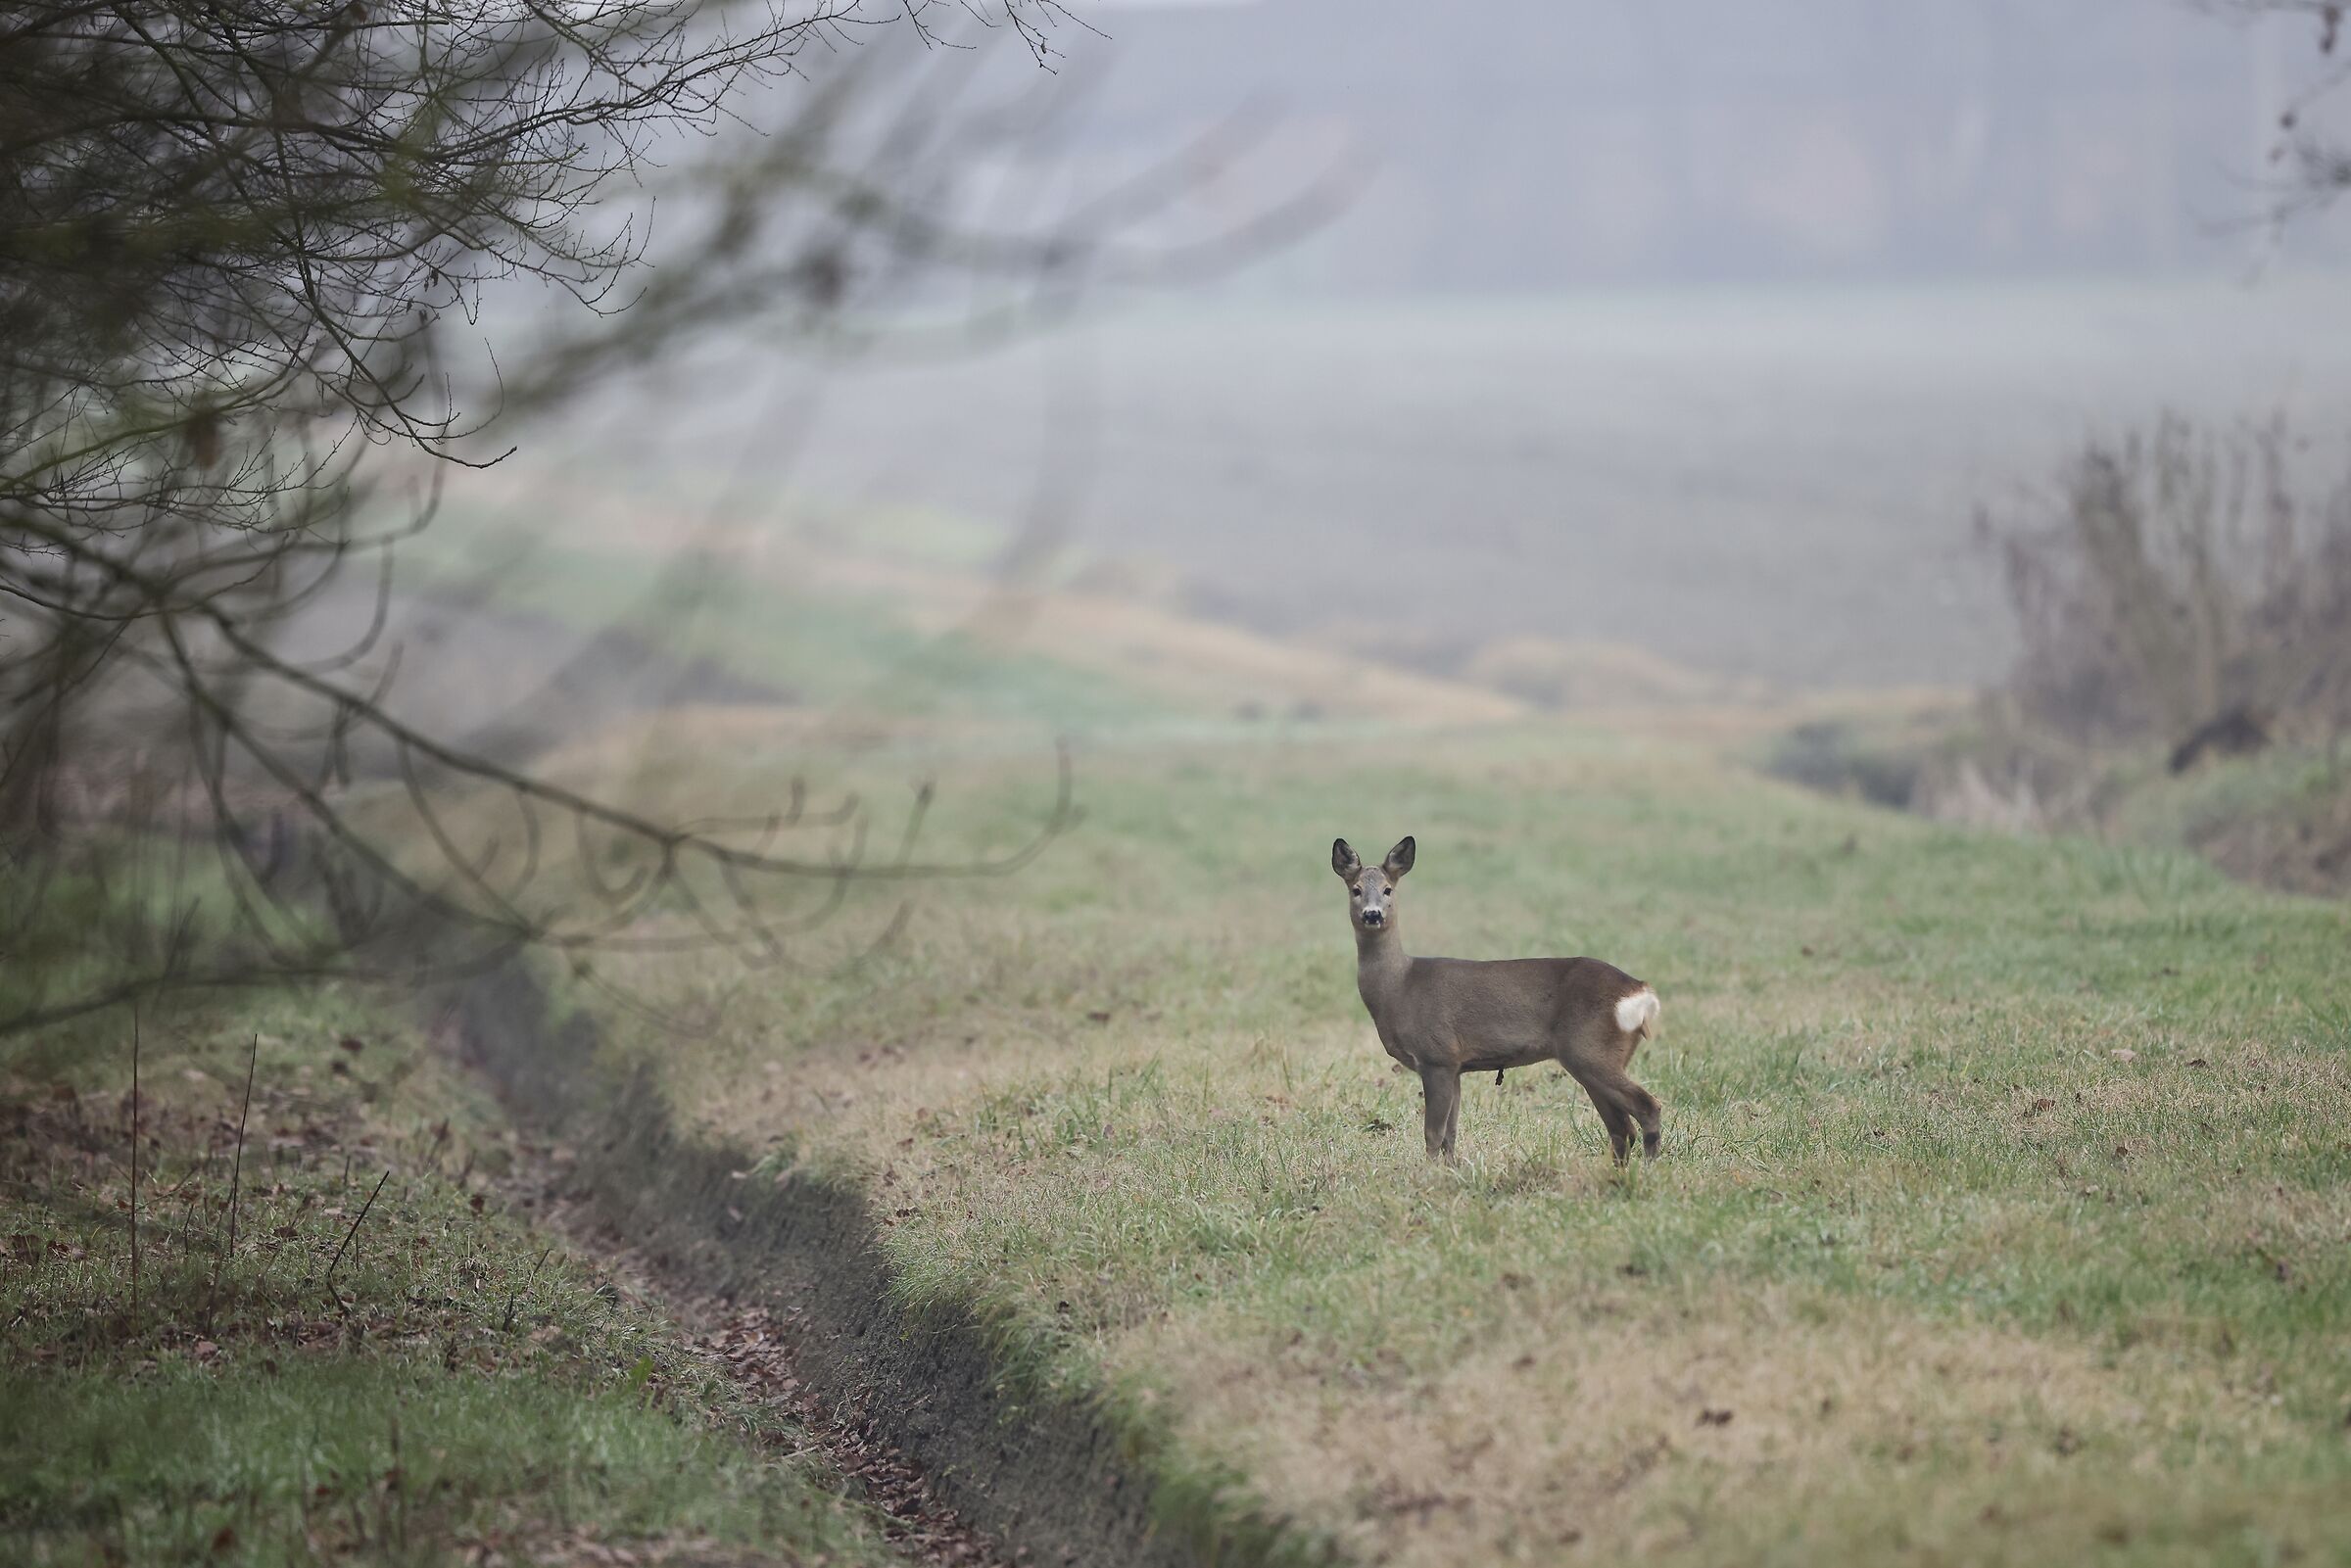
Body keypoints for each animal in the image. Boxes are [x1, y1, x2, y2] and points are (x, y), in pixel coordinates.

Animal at [1332, 835, 1662, 1164]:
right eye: (1355, 889)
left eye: (1388, 889)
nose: (1372, 914)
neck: (1399, 987)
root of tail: (1640, 990)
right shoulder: (1456, 1065)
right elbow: (1450, 1133)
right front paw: (1450, 1171)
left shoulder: (1437, 1056)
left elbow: (1433, 1134)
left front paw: (1428, 1173)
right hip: (1595, 1058)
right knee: (1621, 1129)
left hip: (1591, 1050)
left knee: (1646, 1108)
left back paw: (1648, 1168)